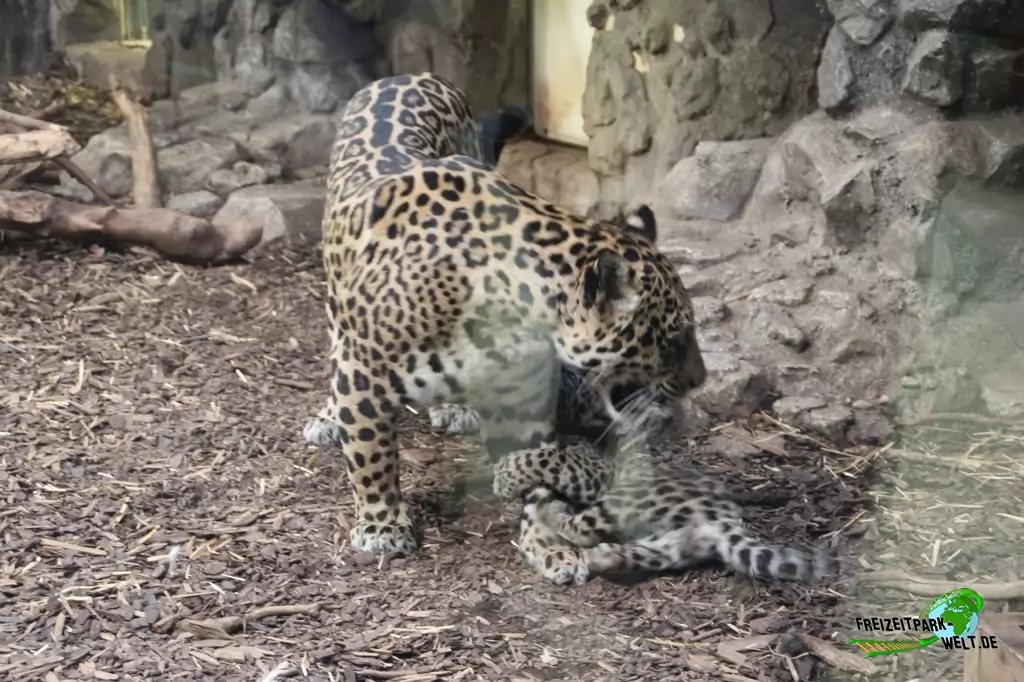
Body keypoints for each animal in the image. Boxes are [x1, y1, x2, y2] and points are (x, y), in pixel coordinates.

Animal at [301, 72, 706, 585]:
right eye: (672, 338)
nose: (700, 380)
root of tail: (411, 75)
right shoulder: (365, 369)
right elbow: (371, 453)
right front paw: (382, 525)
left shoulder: (521, 400)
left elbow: (540, 470)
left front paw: (550, 544)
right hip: (338, 302)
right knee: (337, 349)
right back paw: (330, 418)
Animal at [493, 438, 834, 584]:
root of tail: (726, 520)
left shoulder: (589, 474)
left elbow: (548, 459)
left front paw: (506, 473)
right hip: (674, 542)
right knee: (650, 553)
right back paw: (606, 555)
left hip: (636, 496)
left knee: (585, 525)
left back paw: (558, 517)